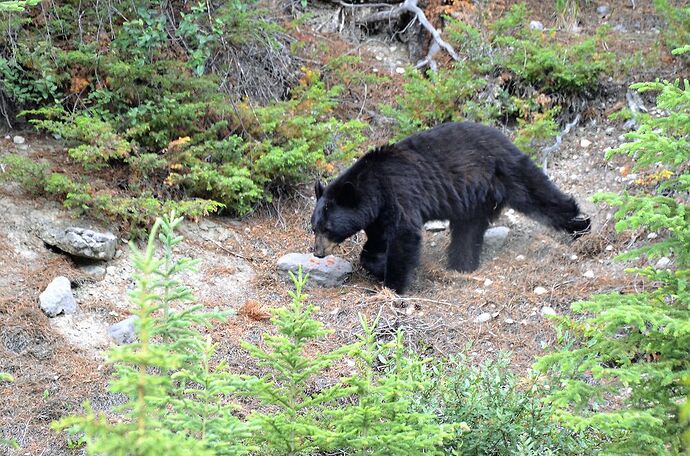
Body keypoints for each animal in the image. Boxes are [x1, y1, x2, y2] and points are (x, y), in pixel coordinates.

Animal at [310, 122, 588, 292]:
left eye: (327, 228)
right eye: (314, 227)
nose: (317, 252)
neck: (374, 187)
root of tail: (503, 137)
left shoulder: (400, 195)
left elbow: (404, 236)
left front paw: (393, 285)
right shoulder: (377, 215)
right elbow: (378, 241)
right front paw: (377, 266)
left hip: (506, 170)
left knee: (538, 194)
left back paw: (580, 223)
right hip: (473, 200)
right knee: (468, 232)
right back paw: (461, 264)